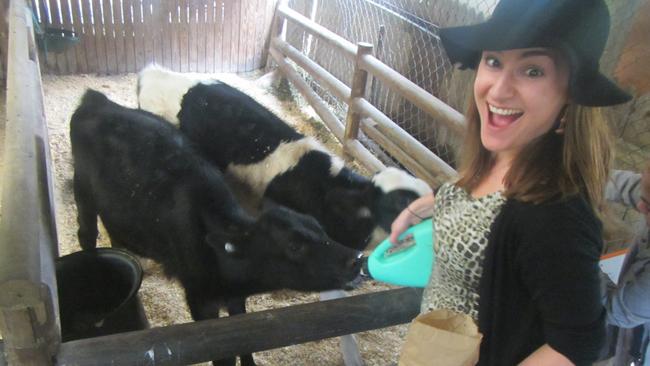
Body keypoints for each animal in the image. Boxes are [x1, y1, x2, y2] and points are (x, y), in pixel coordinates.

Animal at [71, 89, 364, 366]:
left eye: (320, 228)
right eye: (294, 245)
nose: (356, 259)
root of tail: (97, 100)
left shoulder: (235, 299)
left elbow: (244, 344)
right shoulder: (200, 301)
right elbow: (222, 354)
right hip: (82, 189)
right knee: (86, 233)